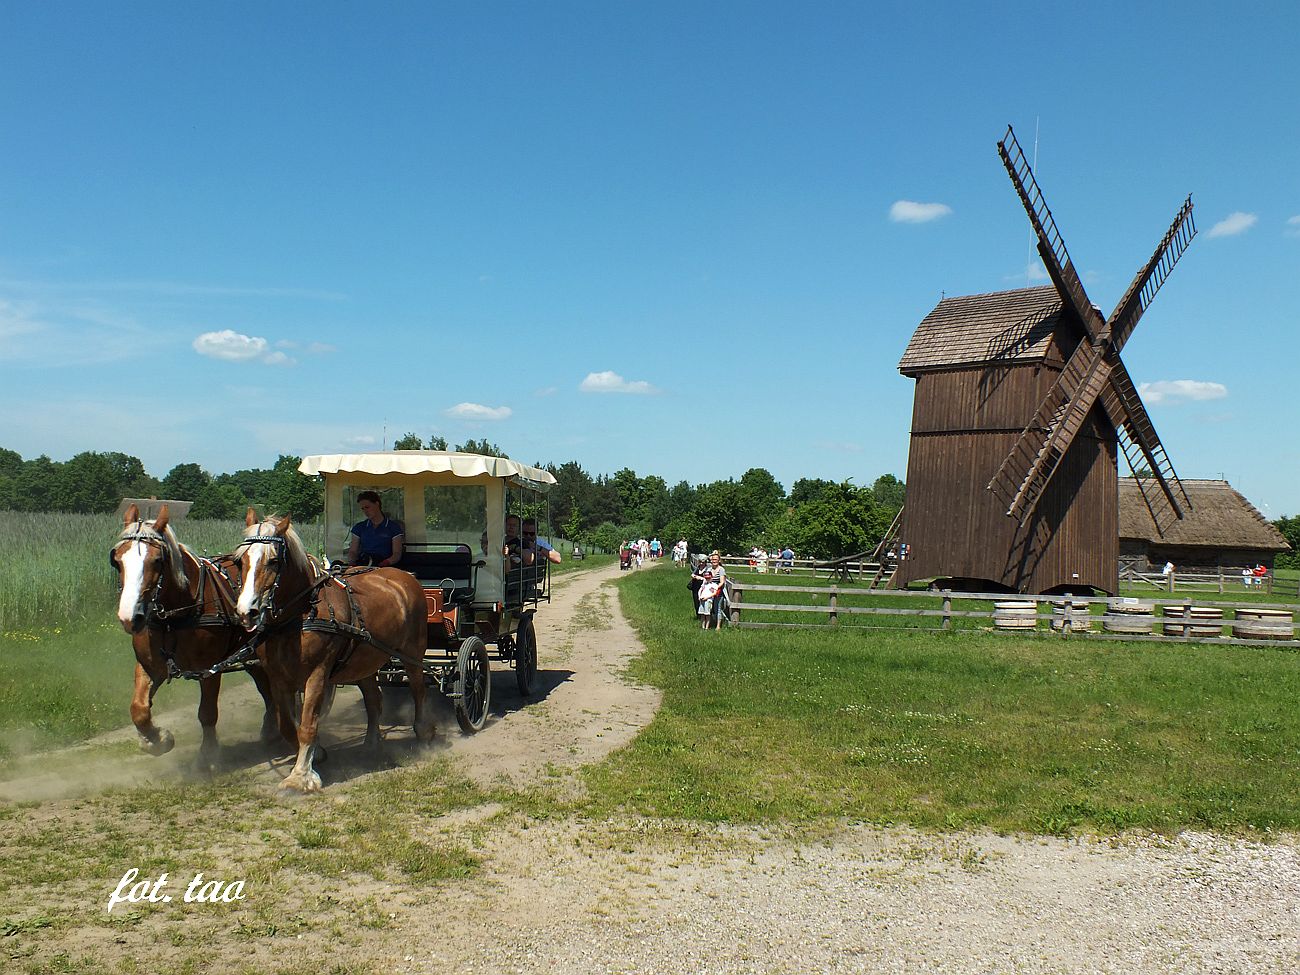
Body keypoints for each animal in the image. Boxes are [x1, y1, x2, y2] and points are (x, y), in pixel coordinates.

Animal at [109, 504, 279, 769]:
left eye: (157, 560)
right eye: (116, 560)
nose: (130, 618)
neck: (174, 616)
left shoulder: (209, 669)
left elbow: (207, 713)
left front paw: (207, 756)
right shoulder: (149, 666)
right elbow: (139, 709)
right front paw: (157, 740)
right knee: (265, 686)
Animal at [235, 512, 436, 795]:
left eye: (274, 561)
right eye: (240, 560)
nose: (246, 612)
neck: (298, 616)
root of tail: (405, 577)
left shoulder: (318, 674)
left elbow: (308, 724)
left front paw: (301, 777)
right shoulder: (277, 677)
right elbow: (287, 724)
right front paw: (316, 754)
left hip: (413, 651)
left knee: (418, 690)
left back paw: (424, 732)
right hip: (365, 659)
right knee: (374, 700)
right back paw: (371, 743)